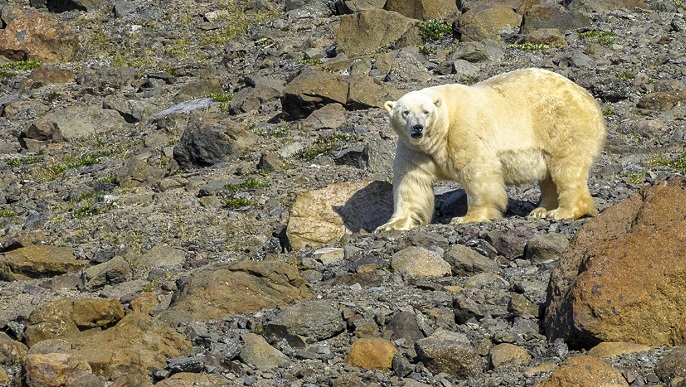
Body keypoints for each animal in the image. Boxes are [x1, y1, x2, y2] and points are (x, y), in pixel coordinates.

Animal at [376, 68, 608, 232]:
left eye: (426, 111)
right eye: (405, 112)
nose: (417, 128)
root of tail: (588, 98)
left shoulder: (464, 130)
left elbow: (478, 172)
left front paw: (466, 217)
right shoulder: (413, 149)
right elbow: (411, 182)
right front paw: (390, 225)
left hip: (562, 125)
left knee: (566, 167)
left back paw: (563, 212)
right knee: (549, 176)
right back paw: (542, 210)